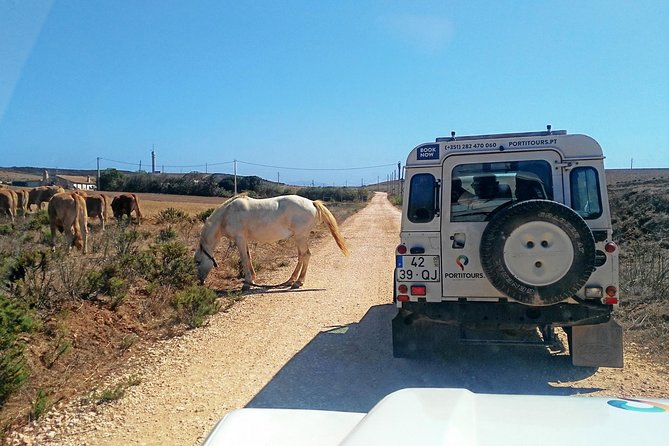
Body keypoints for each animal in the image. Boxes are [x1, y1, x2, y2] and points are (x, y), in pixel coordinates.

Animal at [194, 194, 348, 290]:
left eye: (198, 261)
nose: (200, 281)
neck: (226, 215)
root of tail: (312, 203)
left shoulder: (240, 239)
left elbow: (244, 259)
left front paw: (247, 283)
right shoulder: (244, 240)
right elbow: (248, 258)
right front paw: (252, 279)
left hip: (301, 237)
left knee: (306, 256)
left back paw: (298, 282)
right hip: (299, 237)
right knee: (301, 256)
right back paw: (291, 280)